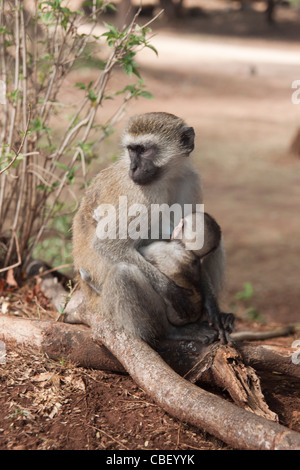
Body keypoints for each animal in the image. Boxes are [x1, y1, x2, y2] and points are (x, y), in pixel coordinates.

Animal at [71, 112, 230, 344]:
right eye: (131, 150)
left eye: (144, 150)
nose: (133, 168)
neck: (165, 178)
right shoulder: (140, 194)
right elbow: (107, 244)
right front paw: (170, 290)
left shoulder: (190, 180)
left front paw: (212, 308)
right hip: (106, 307)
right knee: (124, 274)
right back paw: (169, 333)